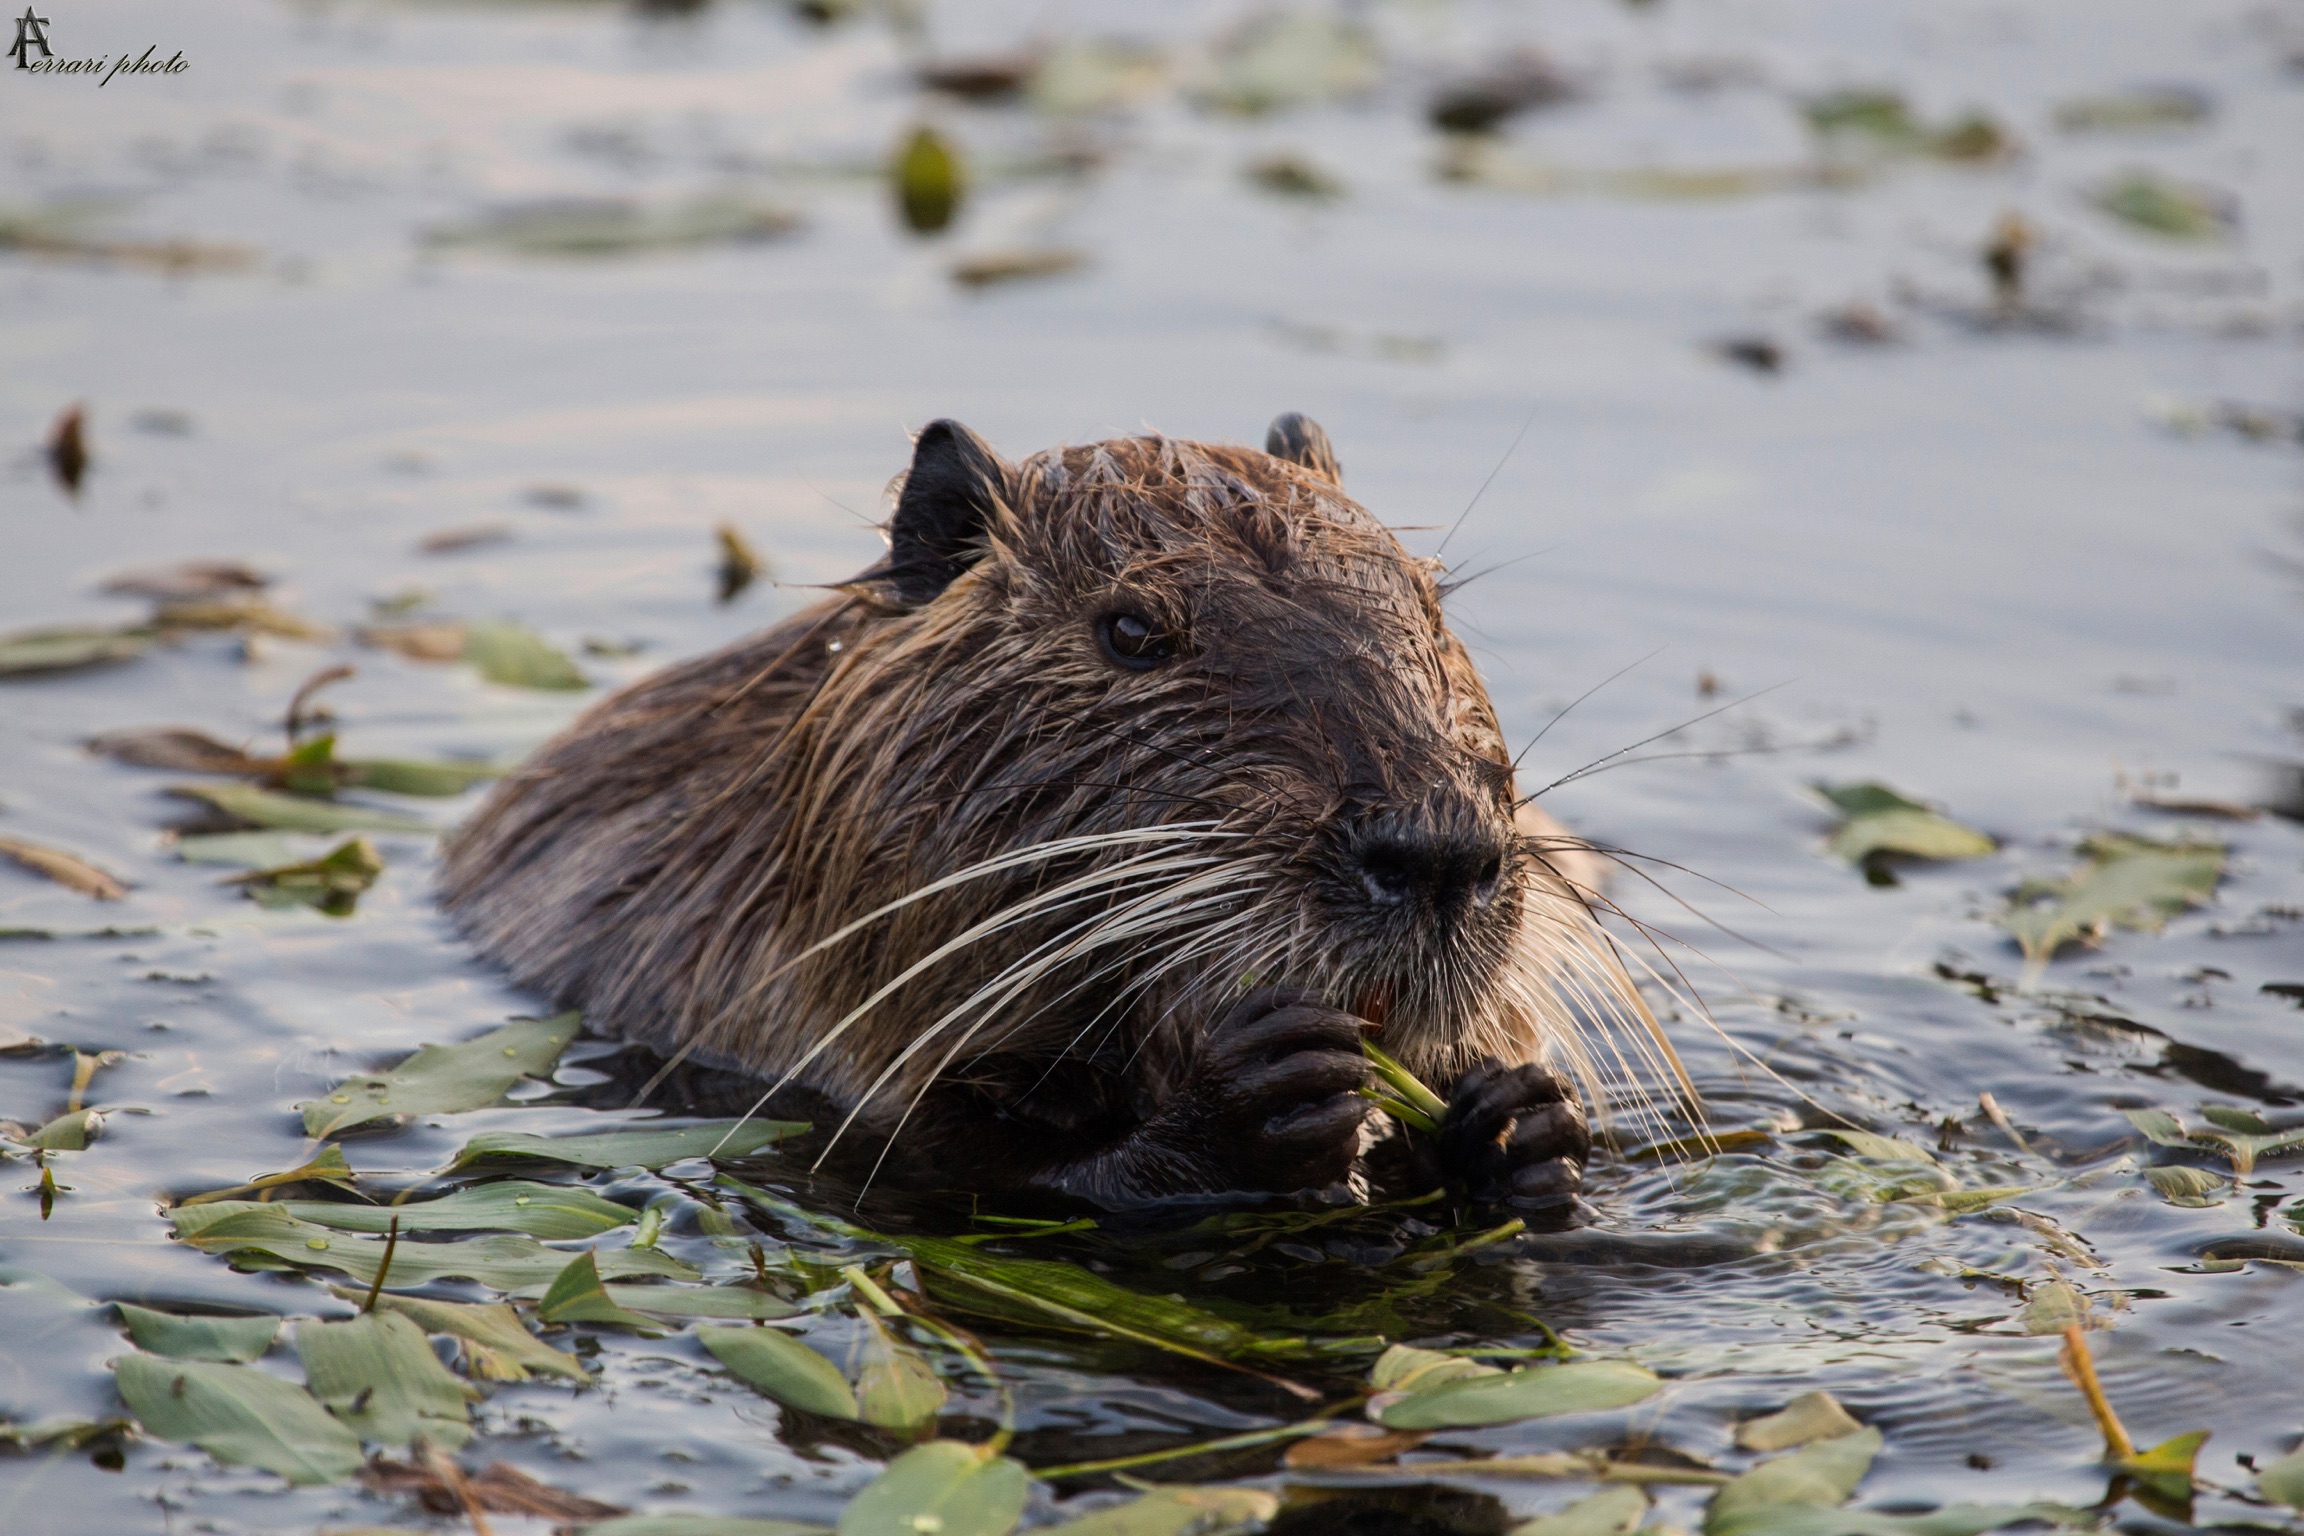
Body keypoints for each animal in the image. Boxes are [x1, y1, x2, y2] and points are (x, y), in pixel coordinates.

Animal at [439, 417, 1656, 1219]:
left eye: (1429, 600)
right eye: (1131, 630)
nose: (1436, 853)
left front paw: (1517, 1116)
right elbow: (966, 1165)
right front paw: (1269, 1091)